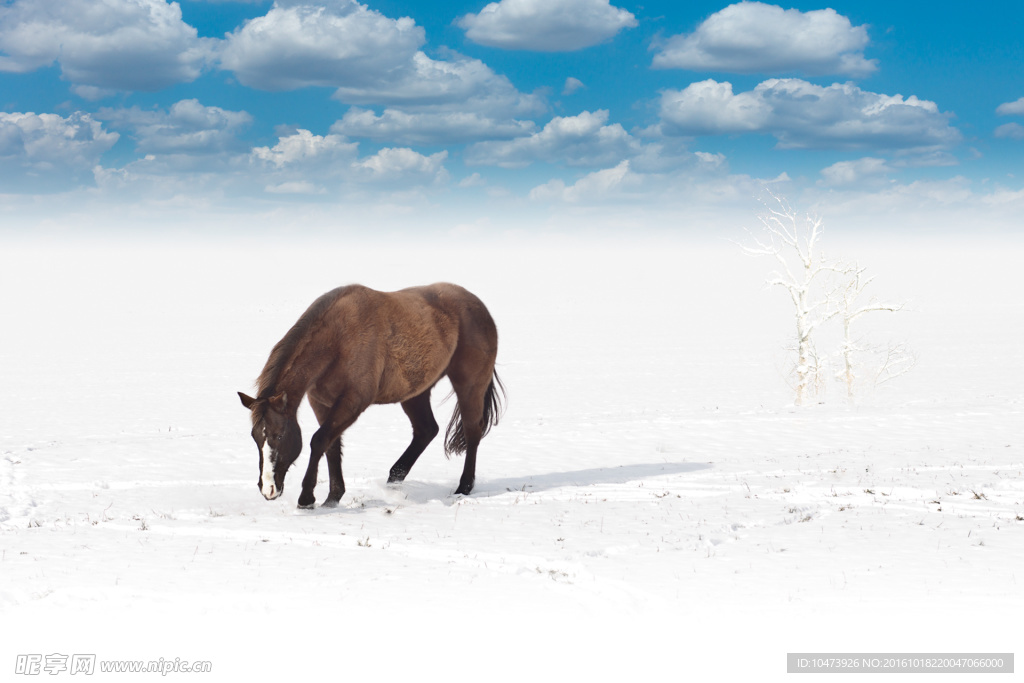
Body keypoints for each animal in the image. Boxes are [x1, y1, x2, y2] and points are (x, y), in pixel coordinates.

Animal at [233, 282, 503, 507]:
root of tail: (479, 306)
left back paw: (463, 487)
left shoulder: (353, 402)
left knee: (472, 431)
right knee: (426, 430)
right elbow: (331, 446)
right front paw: (333, 497)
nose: (268, 488)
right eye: (255, 437)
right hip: (415, 393)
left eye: (279, 436)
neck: (337, 340)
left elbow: (319, 440)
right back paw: (394, 480)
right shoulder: (321, 403)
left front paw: (307, 498)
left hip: (469, 385)